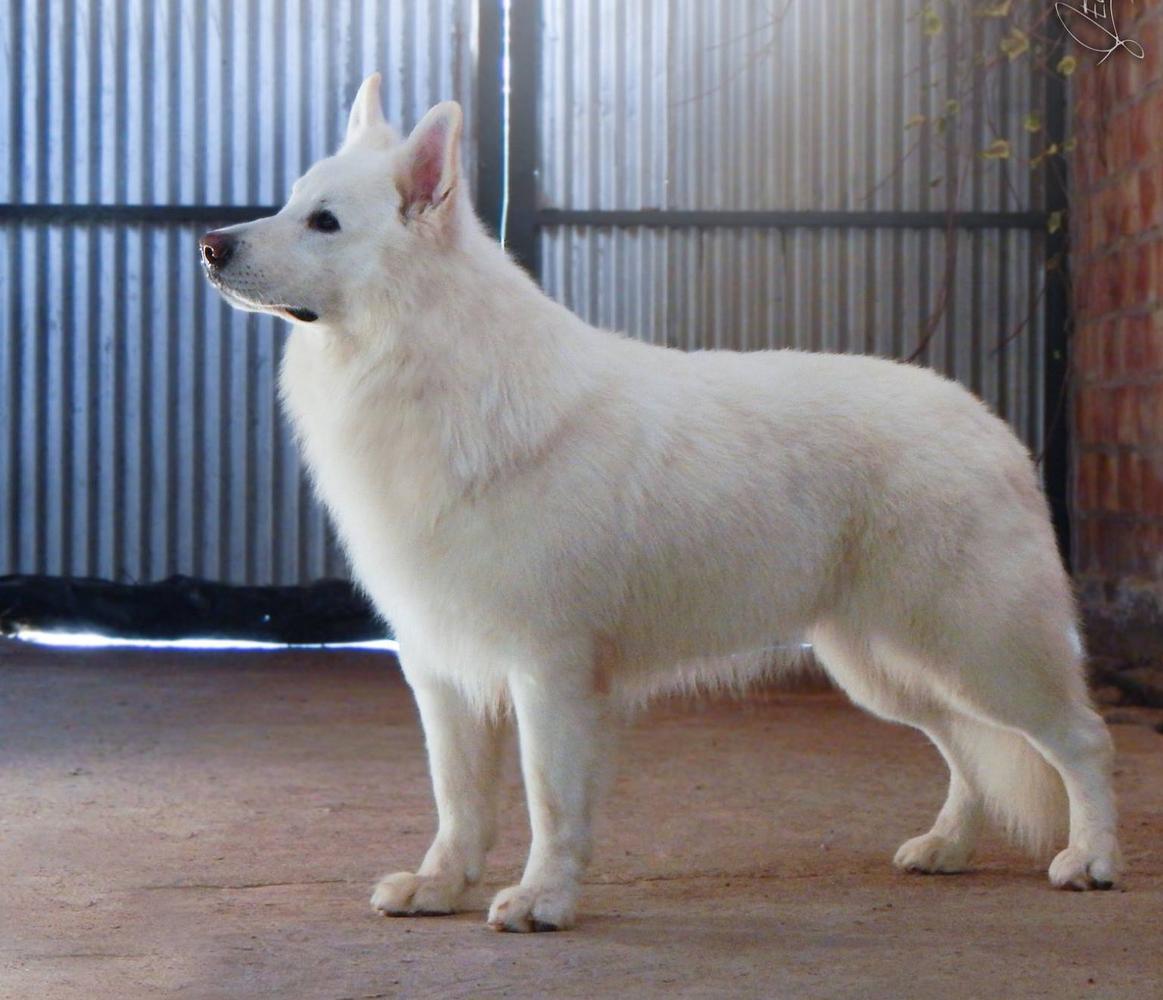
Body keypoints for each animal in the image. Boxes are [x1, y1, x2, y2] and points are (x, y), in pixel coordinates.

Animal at [204, 74, 1121, 934]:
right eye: (288, 202)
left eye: (324, 222)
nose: (210, 244)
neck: (426, 362)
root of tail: (990, 427)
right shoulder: (439, 668)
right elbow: (458, 799)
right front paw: (439, 886)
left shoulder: (549, 670)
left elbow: (547, 800)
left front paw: (540, 900)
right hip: (890, 666)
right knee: (968, 749)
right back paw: (948, 847)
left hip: (976, 647)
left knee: (1079, 738)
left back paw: (1091, 860)